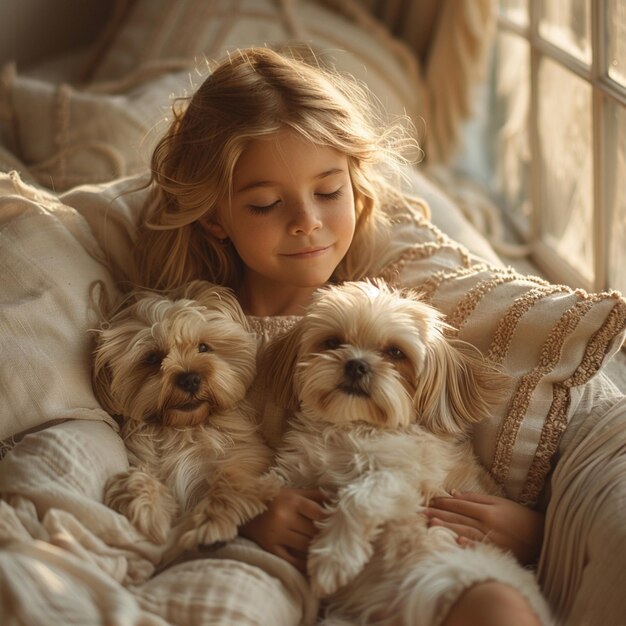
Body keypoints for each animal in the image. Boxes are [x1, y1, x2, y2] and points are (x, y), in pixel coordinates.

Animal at [91, 280, 280, 548]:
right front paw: (150, 510)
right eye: (152, 358)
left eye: (203, 347)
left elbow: (231, 478)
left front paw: (211, 521)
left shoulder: (248, 457)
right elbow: (138, 478)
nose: (190, 379)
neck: (185, 429)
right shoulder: (144, 459)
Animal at [264, 280, 552, 624]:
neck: (354, 426)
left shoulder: (408, 481)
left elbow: (359, 496)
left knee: (494, 596)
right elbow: (271, 485)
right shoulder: (299, 468)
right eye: (333, 342)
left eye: (395, 352)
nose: (356, 364)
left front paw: (333, 559)